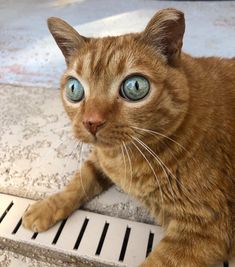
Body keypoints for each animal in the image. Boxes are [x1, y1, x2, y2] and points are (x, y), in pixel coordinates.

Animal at [22, 7, 235, 266]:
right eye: (74, 89)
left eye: (135, 86)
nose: (91, 122)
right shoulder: (101, 160)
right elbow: (80, 180)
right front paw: (47, 206)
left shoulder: (205, 229)